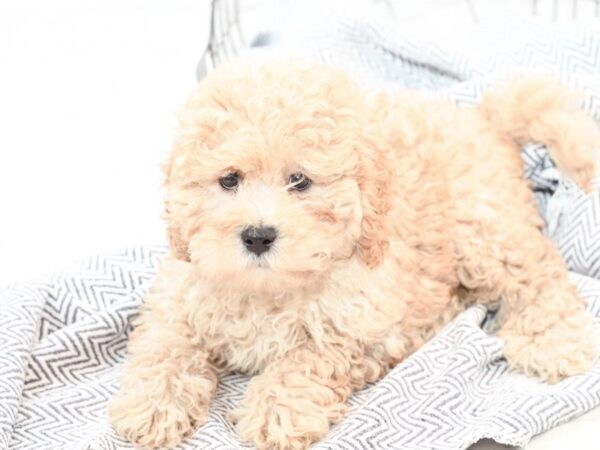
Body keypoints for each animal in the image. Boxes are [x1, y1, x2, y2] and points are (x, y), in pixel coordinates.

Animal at [109, 60, 600, 450]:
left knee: (538, 275)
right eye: (229, 179)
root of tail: (483, 120)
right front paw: (152, 405)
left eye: (300, 181)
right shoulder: (179, 295)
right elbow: (165, 346)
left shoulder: (355, 322)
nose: (258, 236)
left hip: (483, 228)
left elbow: (307, 357)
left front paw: (277, 409)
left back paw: (557, 340)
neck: (268, 289)